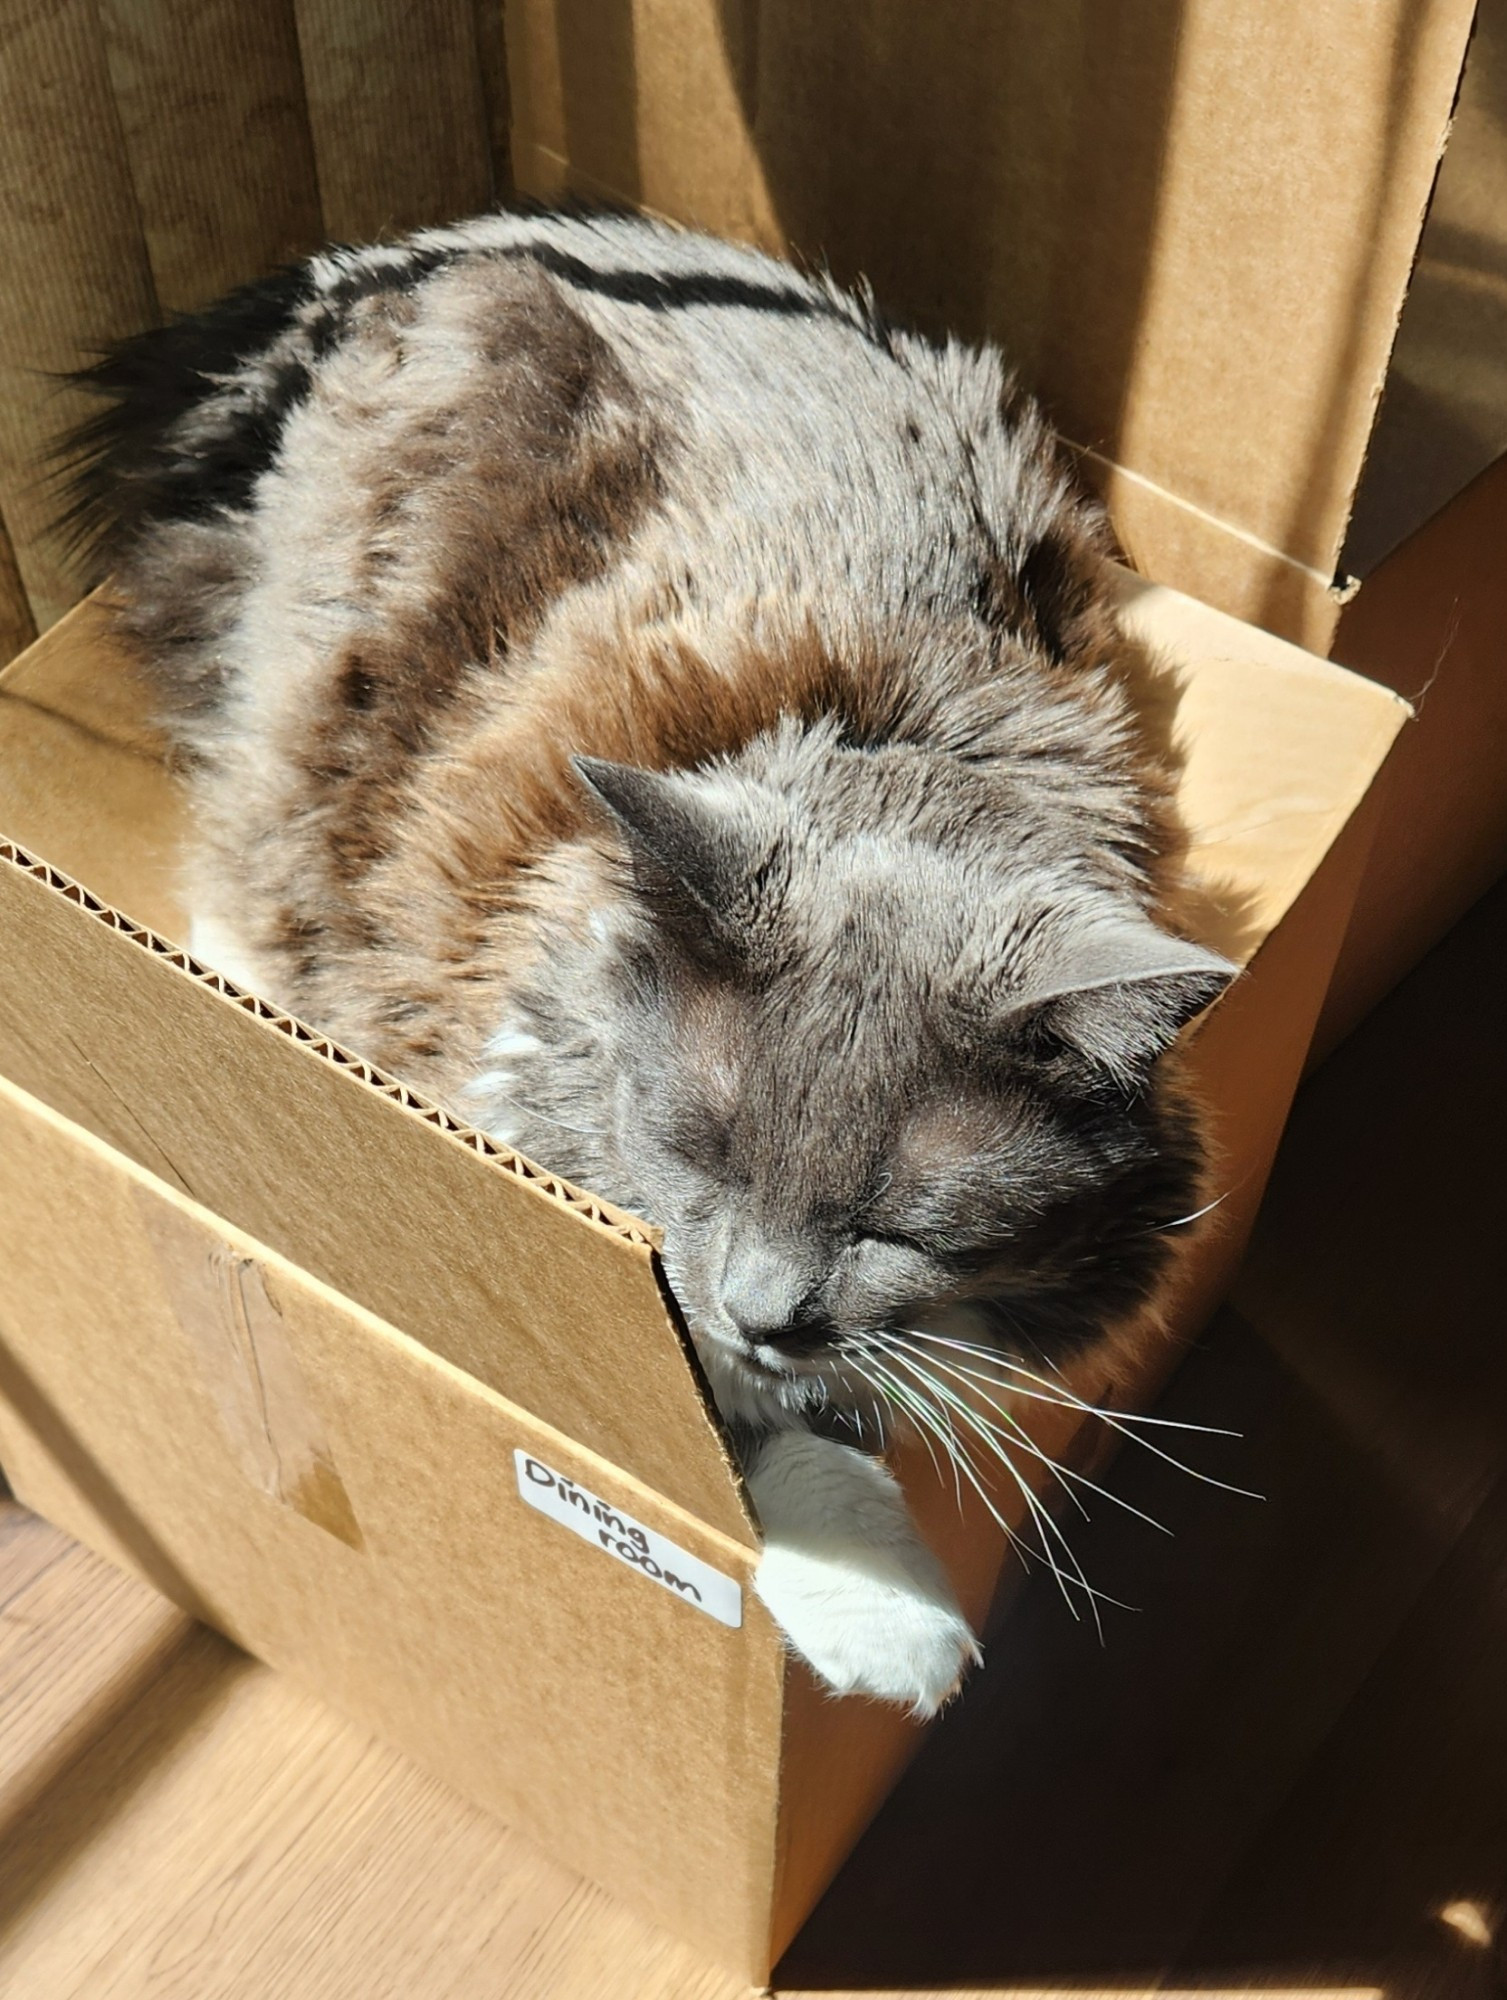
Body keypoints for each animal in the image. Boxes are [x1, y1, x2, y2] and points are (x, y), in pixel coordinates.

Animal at [61, 203, 1231, 1712]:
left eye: (901, 1226)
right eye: (705, 1150)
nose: (766, 1308)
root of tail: (394, 252)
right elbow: (698, 1421)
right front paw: (894, 1618)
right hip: (310, 688)